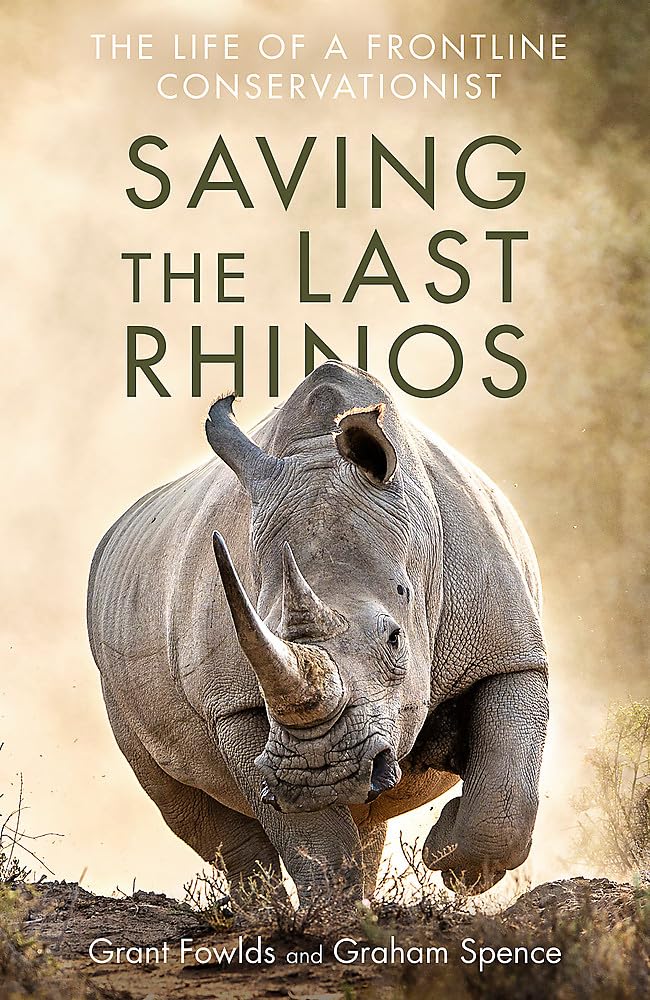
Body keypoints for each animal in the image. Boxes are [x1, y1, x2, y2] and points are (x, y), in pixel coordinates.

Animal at [87, 362, 548, 901]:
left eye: (395, 639)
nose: (320, 773)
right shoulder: (235, 706)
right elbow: (313, 838)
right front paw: (335, 915)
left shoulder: (510, 649)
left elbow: (505, 795)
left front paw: (446, 856)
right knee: (190, 809)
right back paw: (264, 911)